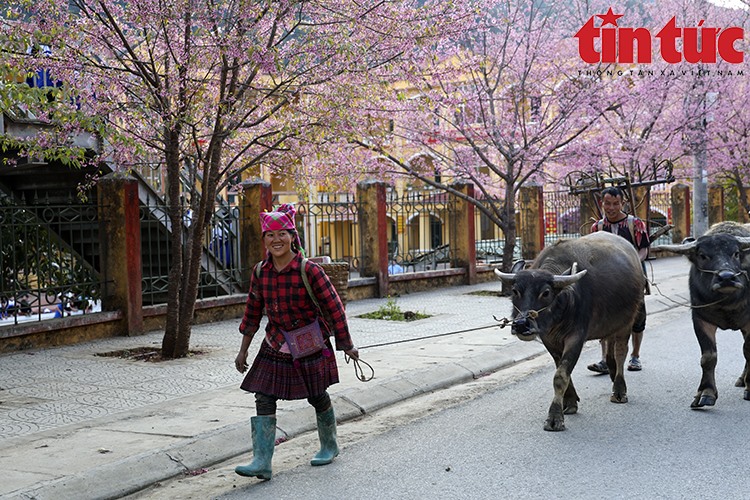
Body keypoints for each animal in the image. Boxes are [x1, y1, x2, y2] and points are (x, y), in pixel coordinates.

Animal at [500, 230, 648, 430]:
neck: (563, 306)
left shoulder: (576, 337)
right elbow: (562, 369)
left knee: (620, 353)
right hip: (610, 323)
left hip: (627, 321)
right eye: (515, 290)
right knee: (609, 349)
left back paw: (619, 390)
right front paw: (570, 402)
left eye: (546, 292)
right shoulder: (550, 340)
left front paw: (554, 418)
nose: (522, 324)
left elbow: (560, 376)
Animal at [656, 221, 750, 408]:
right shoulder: (700, 320)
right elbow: (708, 357)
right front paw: (706, 393)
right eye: (703, 255)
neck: (726, 303)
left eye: (736, 253)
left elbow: (749, 352)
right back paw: (742, 379)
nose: (726, 278)